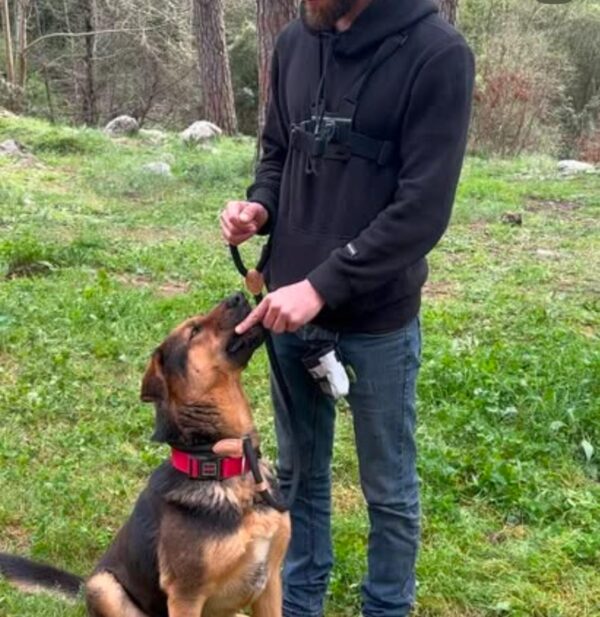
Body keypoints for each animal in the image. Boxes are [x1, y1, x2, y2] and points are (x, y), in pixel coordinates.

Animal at [0, 292, 291, 617]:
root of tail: (84, 583)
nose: (238, 295)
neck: (223, 459)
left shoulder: (270, 583)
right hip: (103, 586)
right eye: (194, 331)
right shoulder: (186, 596)